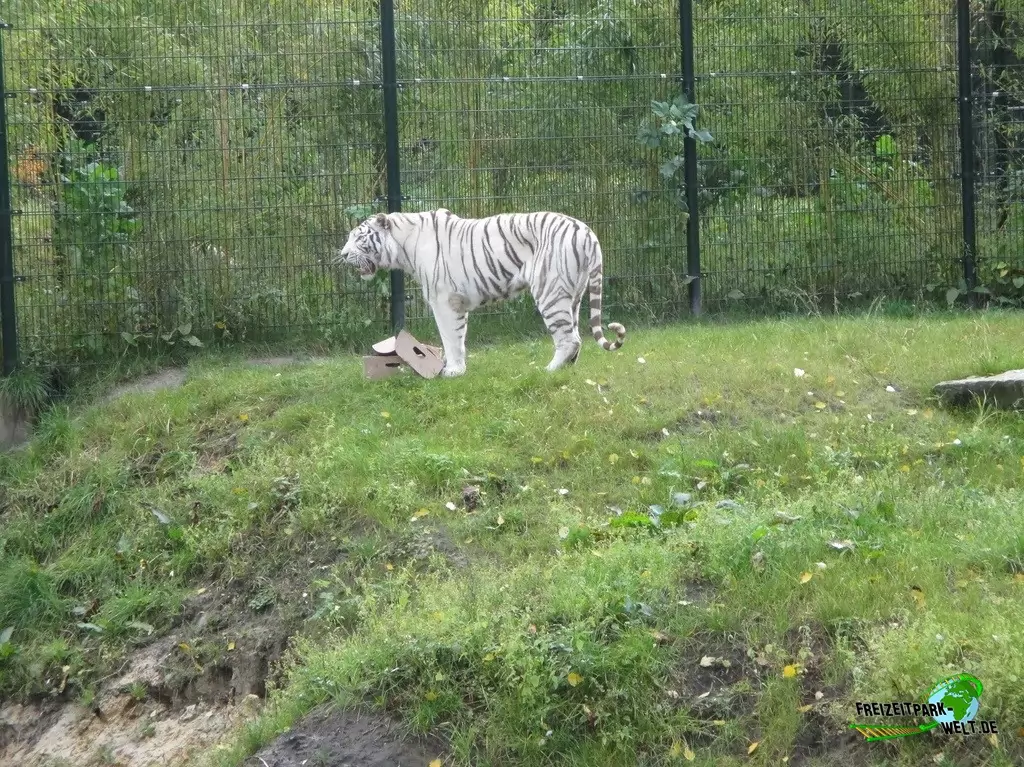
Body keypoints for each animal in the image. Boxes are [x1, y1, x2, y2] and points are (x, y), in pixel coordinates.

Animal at [335, 209, 626, 377]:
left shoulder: (443, 300)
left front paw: (451, 371)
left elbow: (449, 337)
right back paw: (567, 368)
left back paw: (550, 370)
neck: (403, 248)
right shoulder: (458, 301)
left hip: (550, 291)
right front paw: (454, 366)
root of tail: (588, 232)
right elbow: (459, 338)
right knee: (575, 334)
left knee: (569, 338)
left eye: (359, 238)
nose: (343, 254)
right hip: (573, 293)